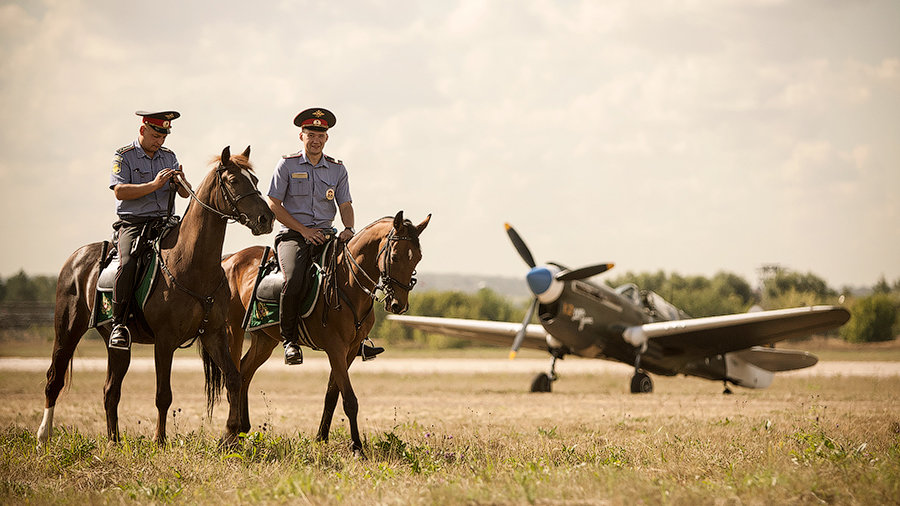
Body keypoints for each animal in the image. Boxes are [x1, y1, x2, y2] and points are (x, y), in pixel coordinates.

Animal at [37, 144, 274, 444]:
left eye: (254, 180)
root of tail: (76, 258)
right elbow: (163, 395)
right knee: (54, 379)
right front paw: (159, 441)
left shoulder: (214, 334)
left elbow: (233, 377)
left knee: (110, 390)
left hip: (117, 346)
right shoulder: (164, 340)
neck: (192, 264)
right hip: (67, 330)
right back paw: (43, 436)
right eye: (233, 180)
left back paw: (114, 441)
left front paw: (231, 434)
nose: (266, 218)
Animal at [220, 210, 428, 454]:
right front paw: (357, 447)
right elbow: (349, 400)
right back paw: (230, 435)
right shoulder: (335, 348)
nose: (398, 305)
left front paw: (321, 438)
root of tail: (230, 259)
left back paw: (242, 430)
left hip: (264, 340)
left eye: (417, 258)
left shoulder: (350, 350)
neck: (348, 281)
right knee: (233, 376)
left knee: (244, 373)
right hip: (232, 330)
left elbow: (332, 395)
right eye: (394, 257)